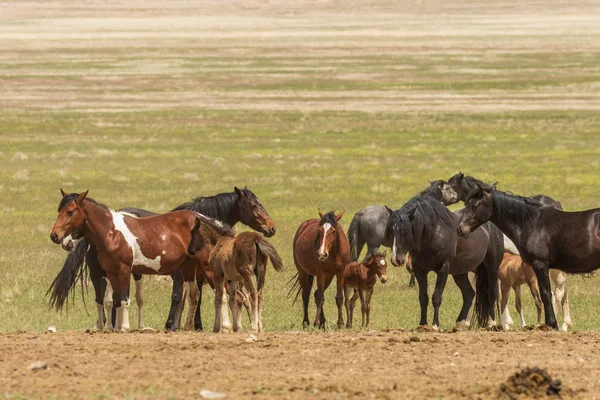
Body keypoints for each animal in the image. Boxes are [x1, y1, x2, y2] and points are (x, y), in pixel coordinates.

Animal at [48, 187, 274, 332]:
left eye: (70, 211)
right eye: (254, 205)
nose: (56, 236)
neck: (111, 232)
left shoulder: (126, 270)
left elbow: (129, 299)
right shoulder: (114, 272)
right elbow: (119, 300)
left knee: (229, 295)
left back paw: (229, 326)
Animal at [386, 193, 504, 328]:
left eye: (405, 231)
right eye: (391, 231)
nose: (396, 259)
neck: (432, 233)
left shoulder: (443, 269)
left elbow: (436, 297)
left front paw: (435, 325)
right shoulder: (419, 270)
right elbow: (423, 298)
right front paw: (423, 324)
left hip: (492, 267)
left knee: (492, 293)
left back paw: (491, 323)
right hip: (460, 273)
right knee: (469, 294)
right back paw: (460, 323)